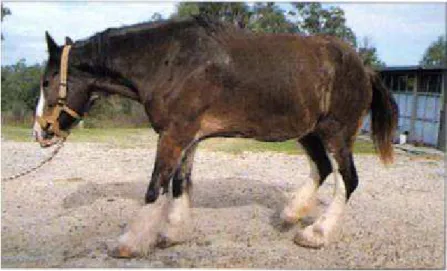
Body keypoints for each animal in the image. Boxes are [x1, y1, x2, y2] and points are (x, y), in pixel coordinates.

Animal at [34, 15, 400, 258]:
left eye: (47, 80)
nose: (41, 132)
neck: (169, 60)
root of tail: (364, 68)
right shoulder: (187, 137)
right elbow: (179, 184)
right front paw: (173, 232)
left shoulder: (174, 135)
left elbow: (155, 188)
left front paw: (130, 243)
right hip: (309, 132)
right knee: (322, 169)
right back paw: (290, 215)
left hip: (336, 132)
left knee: (347, 180)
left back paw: (316, 234)